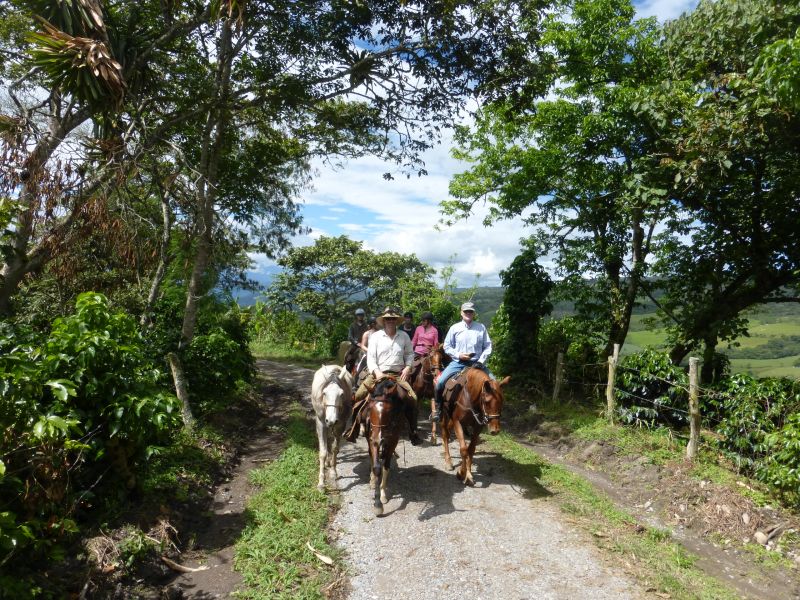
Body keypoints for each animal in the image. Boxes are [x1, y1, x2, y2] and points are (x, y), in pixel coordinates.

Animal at [366, 378, 410, 512]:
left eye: (389, 410)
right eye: (369, 407)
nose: (378, 438)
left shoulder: (392, 442)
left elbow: (386, 466)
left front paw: (382, 495)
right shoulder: (373, 440)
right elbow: (376, 467)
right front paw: (377, 504)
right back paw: (372, 480)